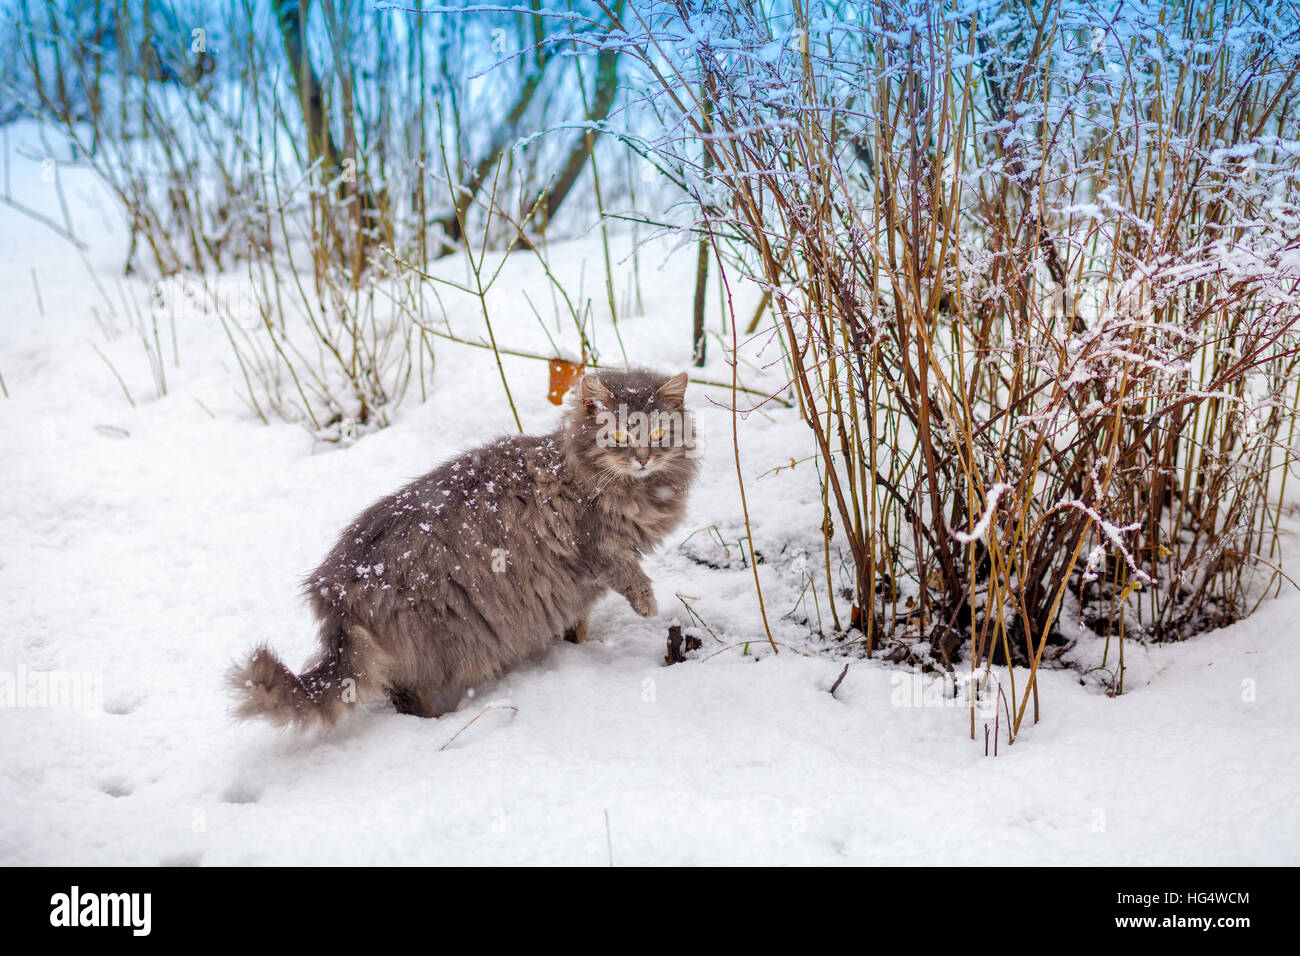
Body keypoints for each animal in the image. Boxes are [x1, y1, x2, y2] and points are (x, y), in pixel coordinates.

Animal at [233, 369, 702, 728]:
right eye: (619, 434)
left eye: (658, 432)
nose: (642, 458)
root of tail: (336, 586)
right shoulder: (594, 549)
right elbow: (627, 573)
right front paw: (646, 605)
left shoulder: (575, 591)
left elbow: (578, 624)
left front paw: (581, 647)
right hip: (440, 641)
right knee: (406, 694)